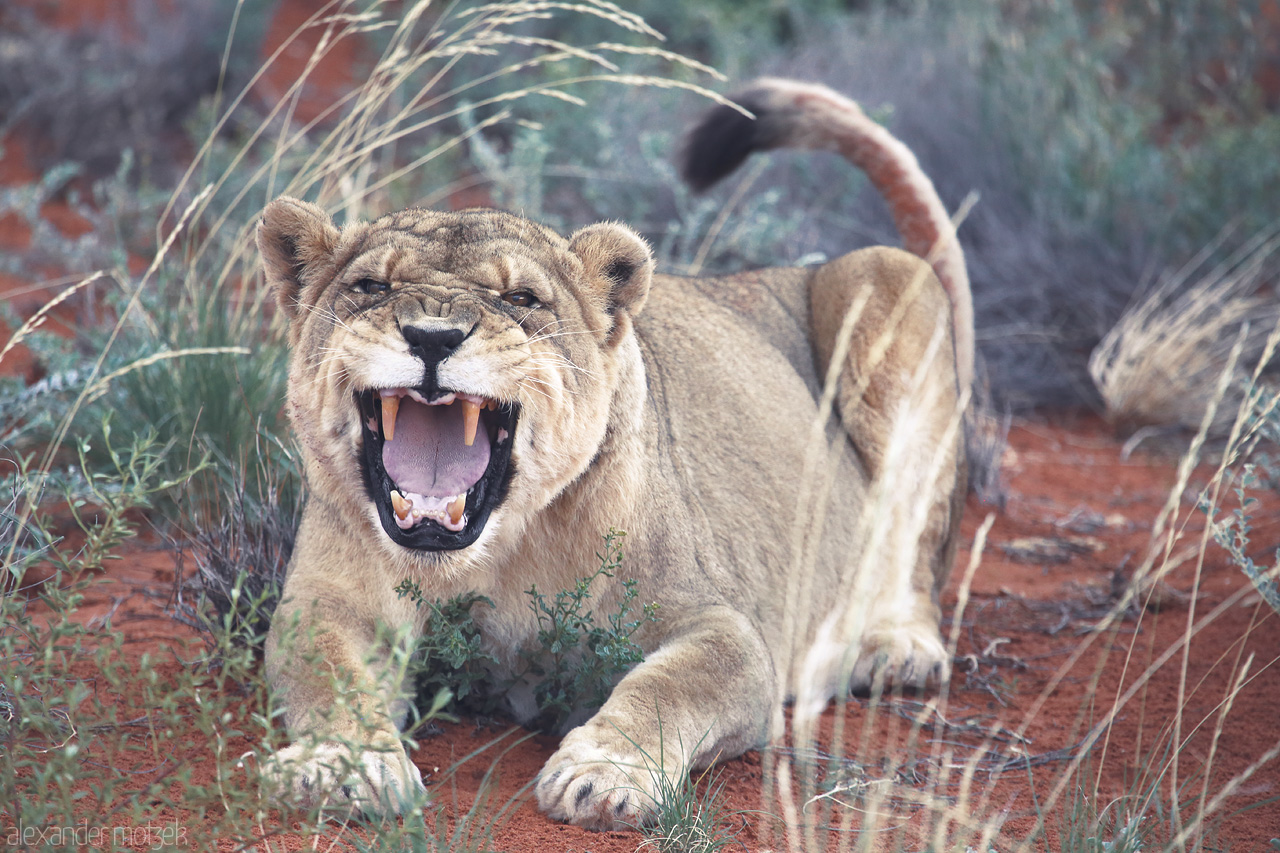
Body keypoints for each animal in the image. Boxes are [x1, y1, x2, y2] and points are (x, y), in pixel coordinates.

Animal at [257, 77, 972, 830]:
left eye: (521, 297)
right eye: (372, 287)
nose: (432, 335)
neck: (494, 555)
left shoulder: (721, 626)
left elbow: (669, 686)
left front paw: (601, 774)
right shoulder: (329, 606)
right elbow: (326, 673)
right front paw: (342, 766)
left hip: (885, 277)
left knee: (916, 547)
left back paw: (896, 649)